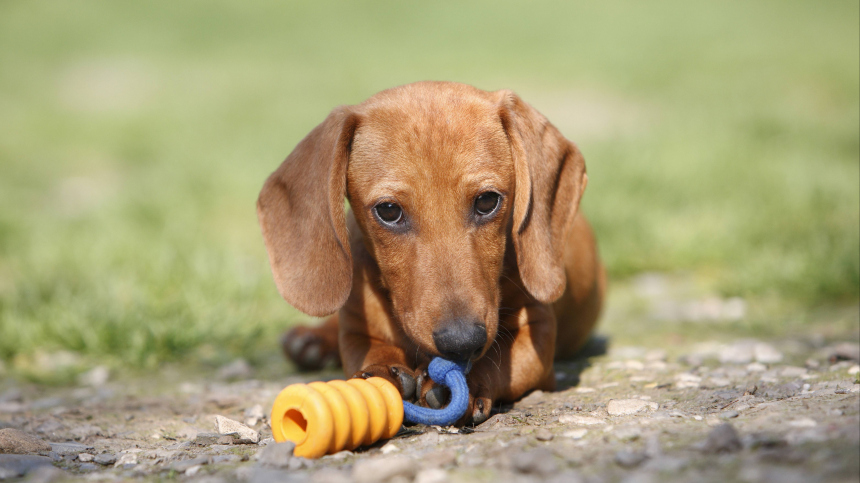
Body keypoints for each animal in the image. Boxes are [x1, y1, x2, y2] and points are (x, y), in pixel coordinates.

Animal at [258, 81, 600, 426]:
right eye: (388, 210)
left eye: (487, 201)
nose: (462, 342)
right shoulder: (356, 332)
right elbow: (371, 352)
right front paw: (380, 373)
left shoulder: (538, 335)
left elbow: (499, 356)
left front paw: (463, 383)